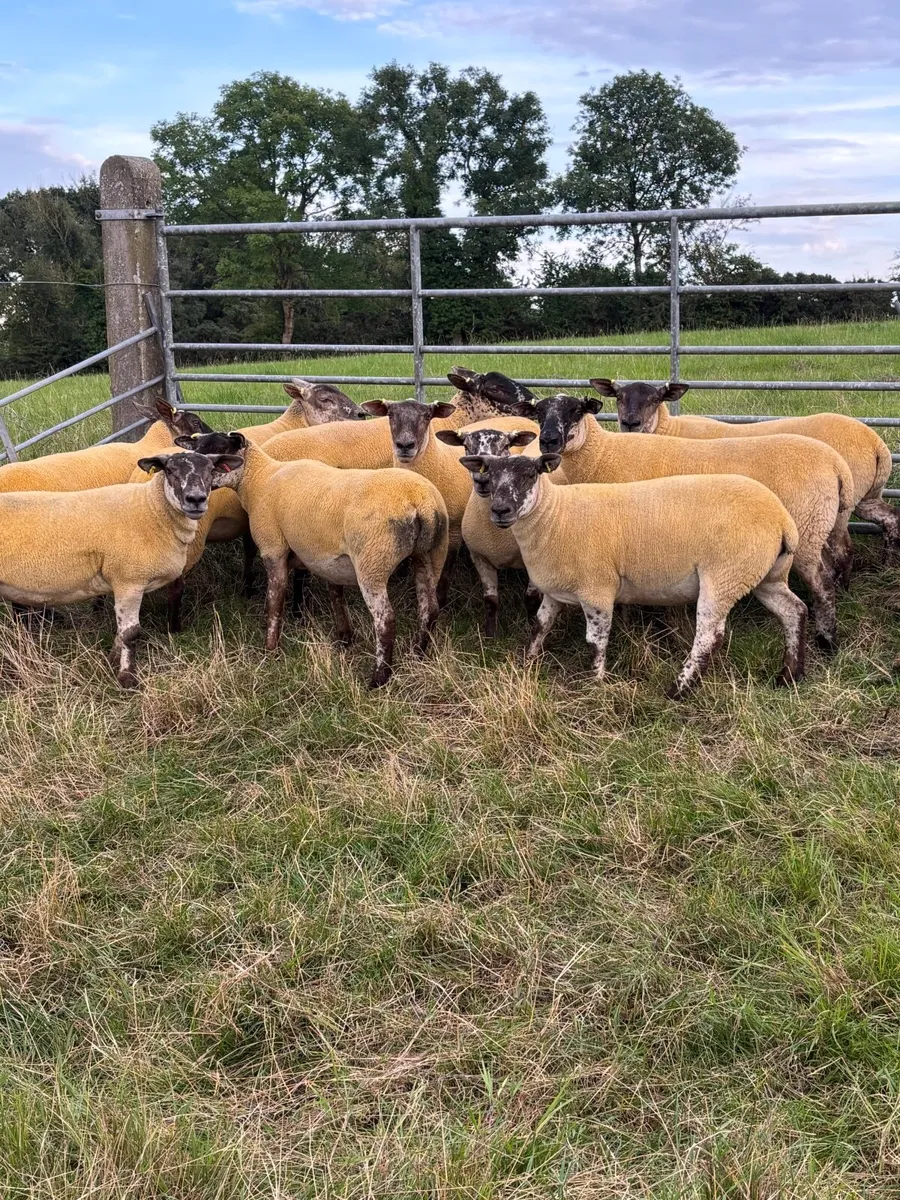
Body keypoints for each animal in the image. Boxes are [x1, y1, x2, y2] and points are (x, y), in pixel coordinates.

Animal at [0, 450, 241, 686]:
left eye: (211, 470)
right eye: (170, 471)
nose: (196, 499)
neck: (152, 510)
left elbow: (121, 631)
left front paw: (112, 659)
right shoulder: (129, 580)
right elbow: (130, 633)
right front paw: (127, 679)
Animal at [178, 432, 449, 689]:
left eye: (219, 451)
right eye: (196, 449)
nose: (193, 491)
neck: (259, 479)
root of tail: (419, 500)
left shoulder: (273, 547)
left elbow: (275, 600)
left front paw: (270, 649)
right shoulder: (329, 560)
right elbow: (335, 595)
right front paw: (344, 637)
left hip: (373, 563)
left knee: (385, 619)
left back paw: (379, 678)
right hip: (431, 556)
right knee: (429, 608)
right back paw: (418, 655)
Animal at [458, 452, 808, 698]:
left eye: (530, 474)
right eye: (490, 475)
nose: (500, 511)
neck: (554, 517)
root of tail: (782, 520)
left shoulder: (597, 589)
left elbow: (596, 640)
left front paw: (595, 682)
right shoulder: (555, 590)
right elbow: (539, 625)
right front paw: (528, 663)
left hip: (724, 575)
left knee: (709, 635)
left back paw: (678, 690)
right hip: (765, 575)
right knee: (794, 611)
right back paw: (789, 675)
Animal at [529, 391, 853, 652]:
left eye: (576, 411)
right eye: (539, 413)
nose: (548, 441)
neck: (603, 455)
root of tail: (838, 465)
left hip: (807, 531)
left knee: (822, 583)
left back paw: (827, 640)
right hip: (824, 526)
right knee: (837, 560)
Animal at [593, 378, 897, 576]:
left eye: (655, 400)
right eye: (618, 398)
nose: (630, 423)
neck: (668, 429)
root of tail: (876, 444)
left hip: (838, 509)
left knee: (844, 550)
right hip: (865, 497)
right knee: (890, 519)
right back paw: (887, 565)